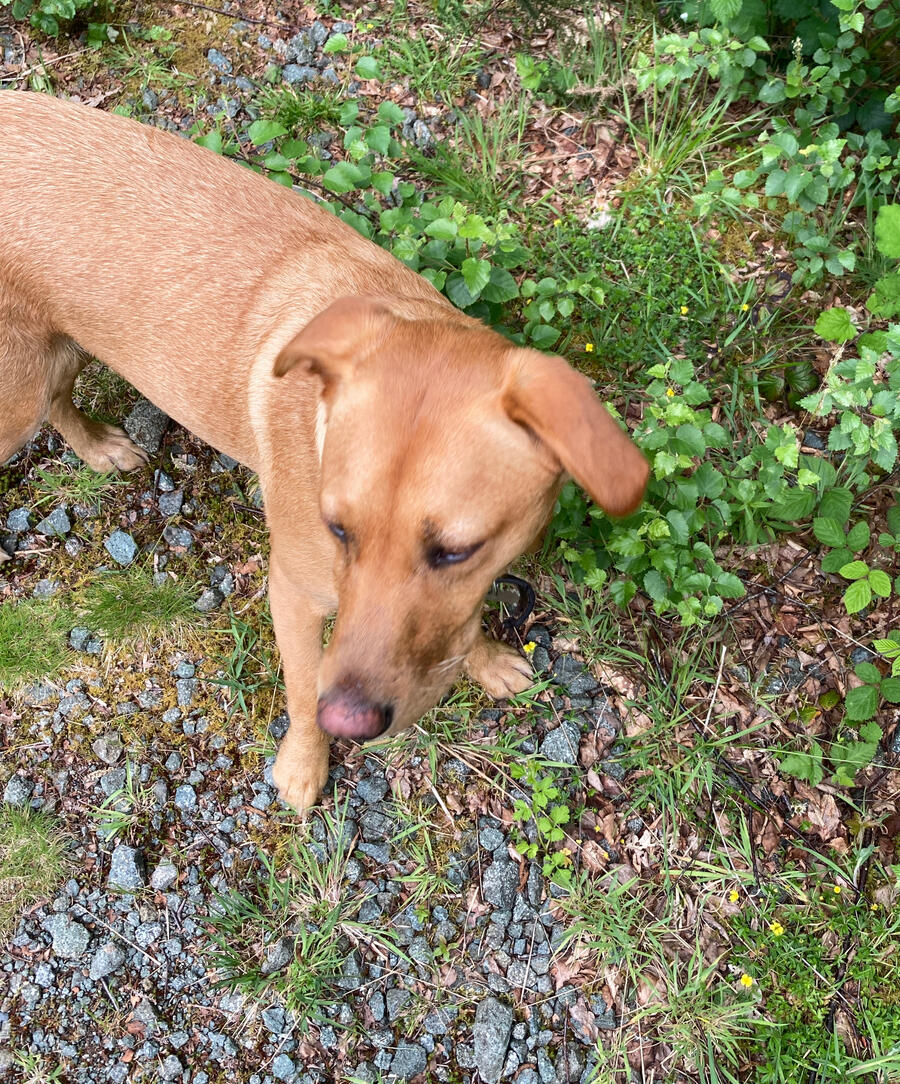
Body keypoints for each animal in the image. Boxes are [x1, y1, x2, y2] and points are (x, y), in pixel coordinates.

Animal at [0, 91, 649, 810]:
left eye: (456, 550)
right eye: (336, 528)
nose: (353, 723)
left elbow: (462, 621)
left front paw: (482, 658)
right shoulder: (293, 595)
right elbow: (303, 690)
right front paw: (303, 764)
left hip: (52, 358)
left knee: (60, 400)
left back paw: (99, 450)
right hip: (16, 394)